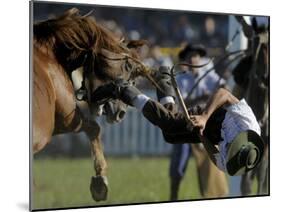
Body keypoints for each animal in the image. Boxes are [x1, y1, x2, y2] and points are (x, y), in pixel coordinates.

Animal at [31, 7, 152, 201]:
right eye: (127, 66)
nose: (121, 112)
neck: (48, 53)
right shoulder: (67, 120)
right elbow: (94, 128)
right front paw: (100, 181)